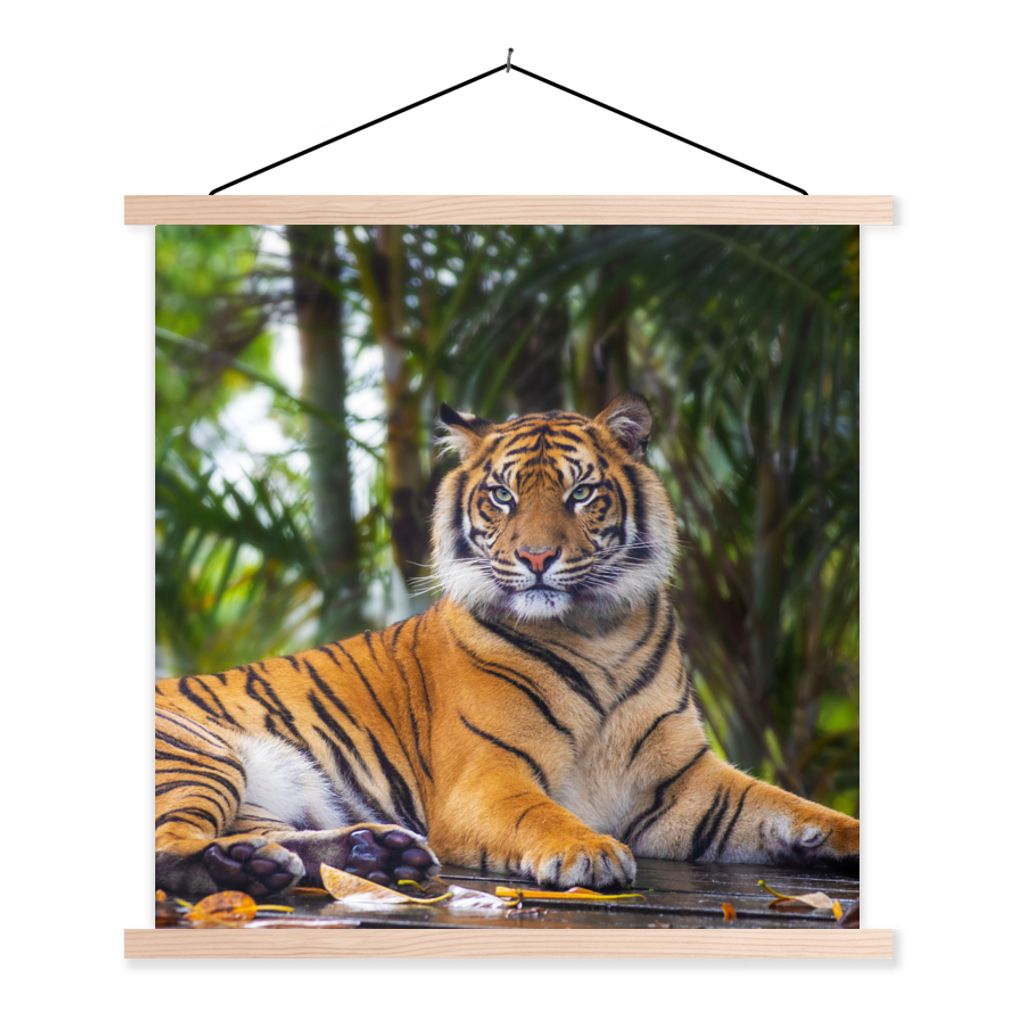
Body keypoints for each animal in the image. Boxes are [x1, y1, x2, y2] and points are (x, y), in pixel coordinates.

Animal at [155, 393, 859, 897]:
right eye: (502, 495)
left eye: (581, 493)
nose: (537, 557)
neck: (597, 632)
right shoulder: (488, 776)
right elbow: (540, 814)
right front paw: (589, 850)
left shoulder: (684, 782)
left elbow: (787, 804)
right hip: (200, 753)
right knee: (166, 850)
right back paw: (243, 870)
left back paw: (365, 854)